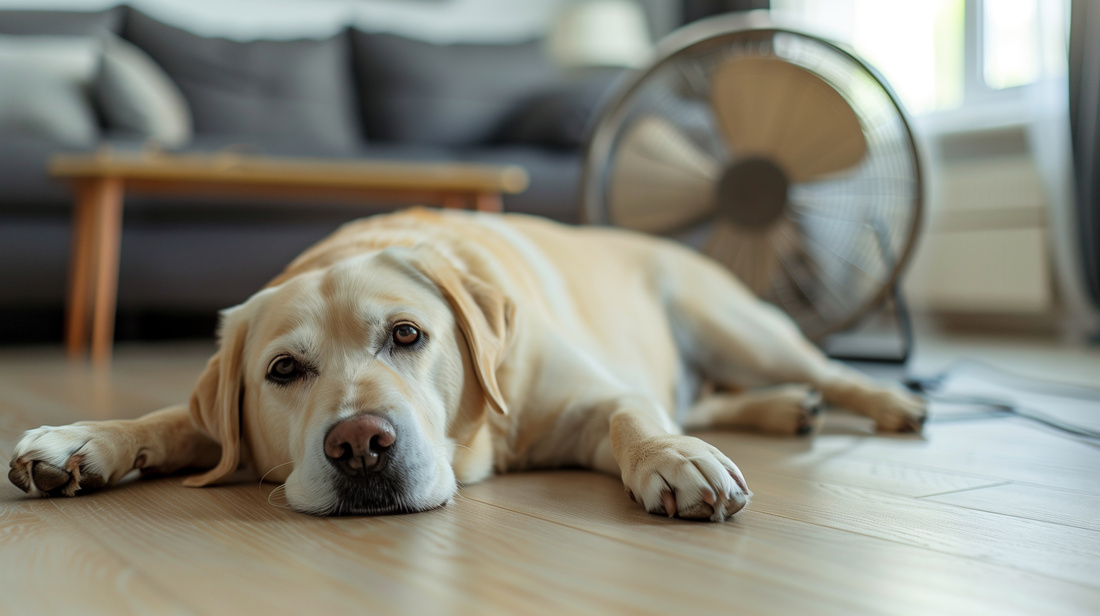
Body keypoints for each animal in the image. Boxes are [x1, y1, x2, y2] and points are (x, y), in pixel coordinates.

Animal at [8, 207, 924, 519]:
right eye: (284, 373)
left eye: (408, 336)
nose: (360, 447)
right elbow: (170, 419)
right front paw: (79, 443)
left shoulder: (596, 400)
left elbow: (635, 417)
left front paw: (674, 463)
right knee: (714, 397)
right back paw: (787, 409)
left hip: (737, 324)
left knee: (822, 365)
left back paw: (888, 404)